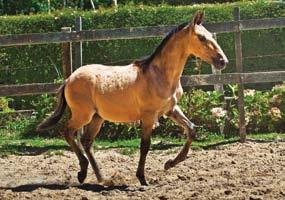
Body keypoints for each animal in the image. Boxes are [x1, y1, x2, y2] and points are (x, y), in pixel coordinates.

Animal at [38, 11, 229, 186]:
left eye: (210, 35)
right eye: (202, 38)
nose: (222, 61)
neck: (159, 75)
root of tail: (69, 79)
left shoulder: (170, 110)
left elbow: (191, 129)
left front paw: (169, 164)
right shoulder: (148, 116)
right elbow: (145, 145)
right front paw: (143, 178)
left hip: (97, 117)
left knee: (86, 141)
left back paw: (102, 178)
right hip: (82, 115)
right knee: (67, 131)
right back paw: (83, 172)